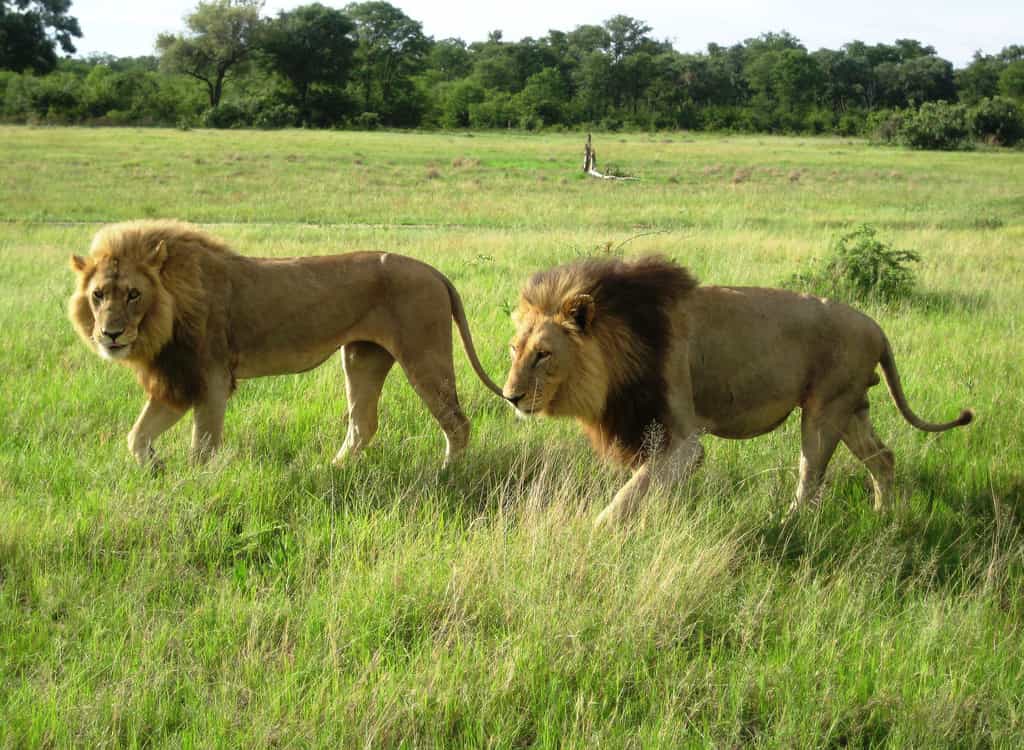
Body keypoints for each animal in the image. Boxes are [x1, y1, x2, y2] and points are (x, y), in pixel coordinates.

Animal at [68, 220, 505, 468]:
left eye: (133, 295)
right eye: (98, 295)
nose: (110, 334)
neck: (169, 307)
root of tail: (434, 271)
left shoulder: (210, 378)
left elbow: (202, 448)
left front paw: (193, 484)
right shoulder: (178, 379)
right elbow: (137, 436)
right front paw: (155, 467)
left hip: (424, 354)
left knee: (456, 422)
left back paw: (446, 475)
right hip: (362, 356)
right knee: (363, 423)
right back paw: (333, 470)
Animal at [502, 255, 973, 527]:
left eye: (543, 354)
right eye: (514, 349)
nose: (510, 396)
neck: (619, 348)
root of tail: (876, 326)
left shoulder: (683, 440)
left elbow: (631, 492)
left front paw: (595, 532)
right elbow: (649, 487)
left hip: (825, 409)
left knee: (811, 474)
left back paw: (788, 526)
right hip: (853, 408)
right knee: (883, 457)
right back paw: (883, 517)